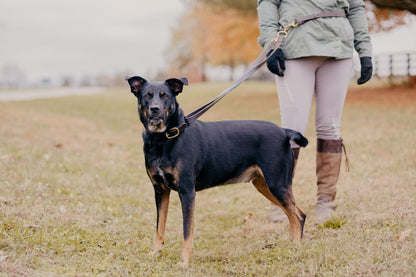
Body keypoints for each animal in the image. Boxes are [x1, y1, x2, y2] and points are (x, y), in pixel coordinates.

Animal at [127, 75, 308, 266]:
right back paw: (291, 242)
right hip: (265, 185)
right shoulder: (160, 190)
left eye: (165, 96)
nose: (155, 109)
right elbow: (159, 225)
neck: (164, 138)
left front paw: (184, 261)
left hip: (277, 183)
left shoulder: (187, 191)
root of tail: (284, 132)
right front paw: (155, 252)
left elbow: (187, 231)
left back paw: (296, 246)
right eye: (146, 96)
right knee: (296, 214)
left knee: (297, 215)